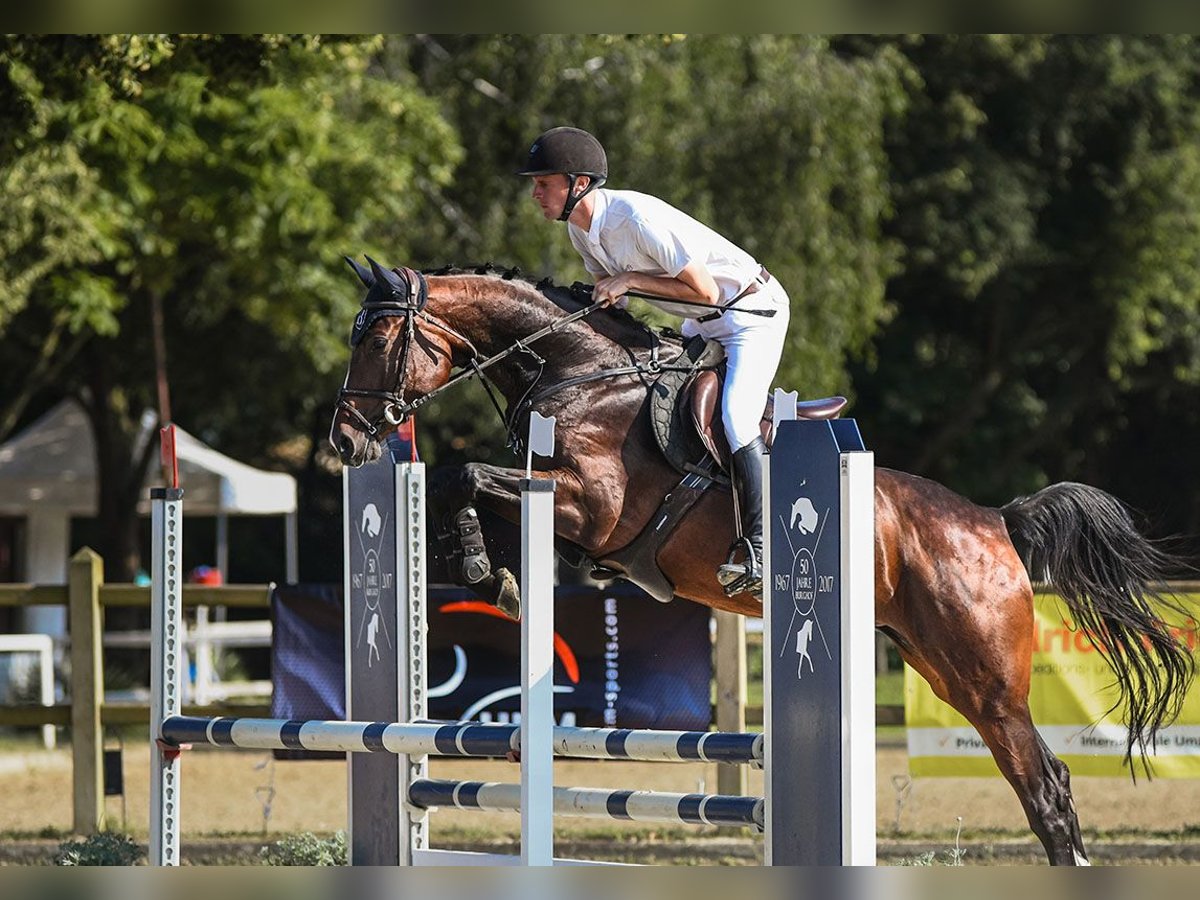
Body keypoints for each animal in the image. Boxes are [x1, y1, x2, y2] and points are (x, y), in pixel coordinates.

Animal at [328, 256, 1200, 864]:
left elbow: (464, 472)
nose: (346, 442)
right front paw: (490, 570)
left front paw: (484, 569)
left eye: (378, 338)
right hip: (939, 666)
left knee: (1046, 788)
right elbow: (467, 484)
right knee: (1041, 782)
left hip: (985, 680)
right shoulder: (565, 513)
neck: (579, 373)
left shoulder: (593, 508)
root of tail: (992, 520)